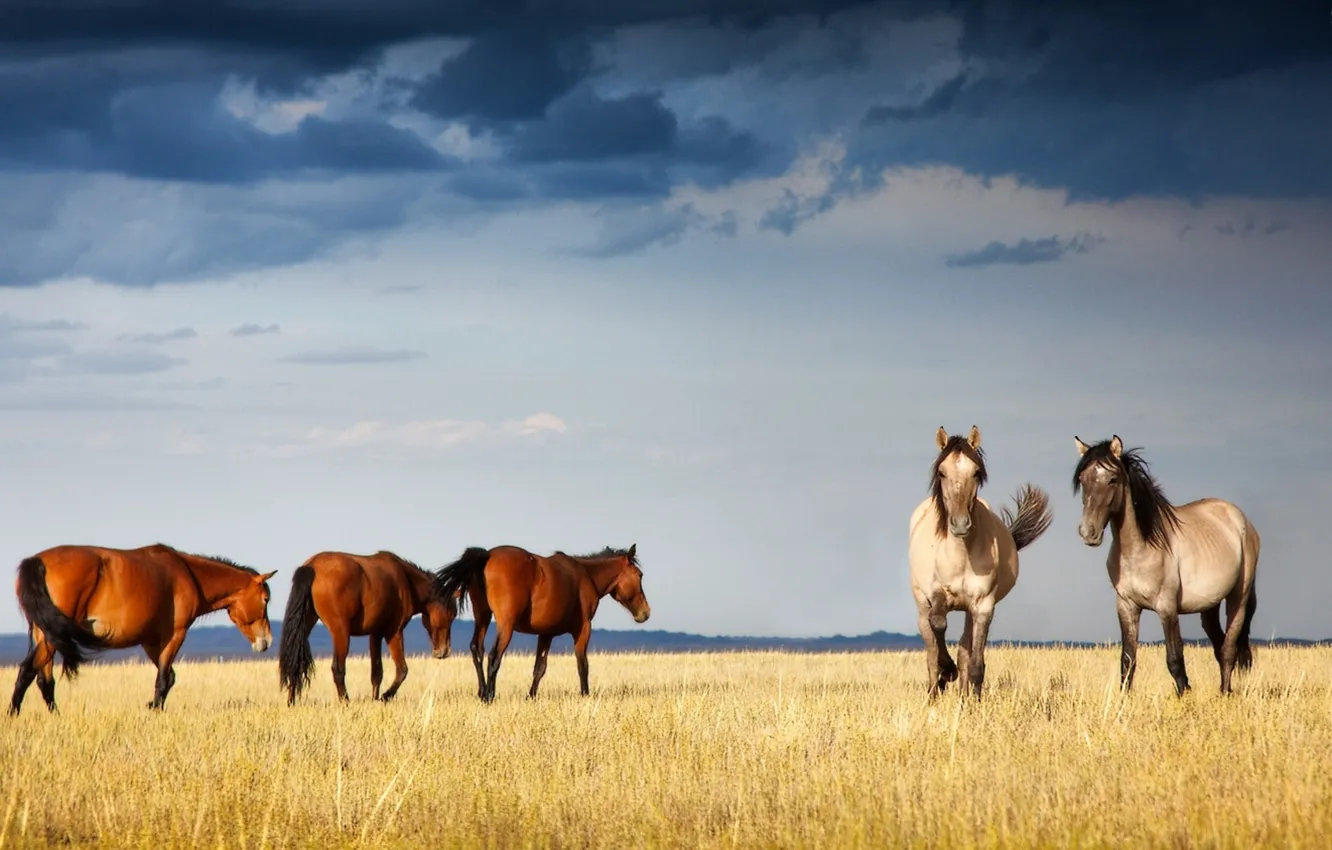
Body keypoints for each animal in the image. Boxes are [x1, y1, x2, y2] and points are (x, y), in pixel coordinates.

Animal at [10, 544, 276, 714]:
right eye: (265, 599)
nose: (266, 641)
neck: (188, 574)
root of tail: (37, 561)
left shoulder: (150, 641)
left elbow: (169, 676)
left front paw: (152, 707)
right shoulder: (174, 635)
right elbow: (164, 678)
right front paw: (156, 710)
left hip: (46, 633)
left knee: (44, 680)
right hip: (53, 636)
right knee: (27, 670)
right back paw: (13, 714)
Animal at [278, 550, 458, 705]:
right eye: (451, 614)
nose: (444, 651)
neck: (406, 581)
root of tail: (312, 565)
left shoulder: (375, 634)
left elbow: (377, 673)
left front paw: (375, 699)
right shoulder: (394, 632)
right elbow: (402, 670)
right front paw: (385, 696)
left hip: (305, 626)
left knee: (295, 662)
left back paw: (291, 702)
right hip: (341, 633)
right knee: (338, 669)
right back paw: (346, 702)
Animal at [432, 544, 650, 702]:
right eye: (640, 575)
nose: (645, 613)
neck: (586, 575)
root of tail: (487, 555)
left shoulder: (546, 634)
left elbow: (540, 668)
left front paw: (531, 696)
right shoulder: (583, 629)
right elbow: (582, 664)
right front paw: (585, 695)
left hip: (482, 617)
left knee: (477, 649)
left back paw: (482, 692)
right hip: (505, 625)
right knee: (494, 657)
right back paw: (489, 696)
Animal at [908, 426, 1054, 699]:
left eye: (976, 472)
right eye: (941, 472)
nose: (960, 524)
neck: (960, 555)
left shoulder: (983, 605)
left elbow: (975, 662)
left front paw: (972, 700)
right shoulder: (937, 594)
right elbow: (939, 625)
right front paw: (947, 672)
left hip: (968, 610)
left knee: (964, 650)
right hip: (922, 604)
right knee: (931, 649)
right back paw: (935, 689)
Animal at [1073, 435, 1260, 696]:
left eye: (1112, 479)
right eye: (1082, 479)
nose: (1087, 532)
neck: (1140, 548)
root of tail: (1241, 520)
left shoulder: (1167, 607)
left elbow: (1175, 659)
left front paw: (1185, 696)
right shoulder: (1126, 607)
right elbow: (1127, 661)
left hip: (1238, 598)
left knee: (1228, 649)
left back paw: (1224, 694)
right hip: (1209, 606)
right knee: (1219, 646)